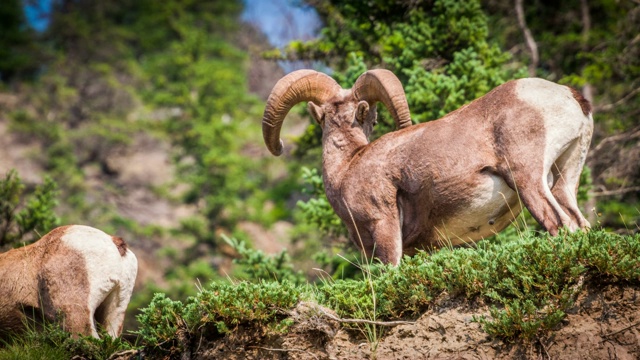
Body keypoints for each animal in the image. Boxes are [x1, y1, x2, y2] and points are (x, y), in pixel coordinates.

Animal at [262, 69, 592, 264]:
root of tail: (568, 95)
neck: (348, 167)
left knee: (560, 224)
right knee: (579, 222)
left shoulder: (384, 229)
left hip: (529, 181)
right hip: (565, 176)